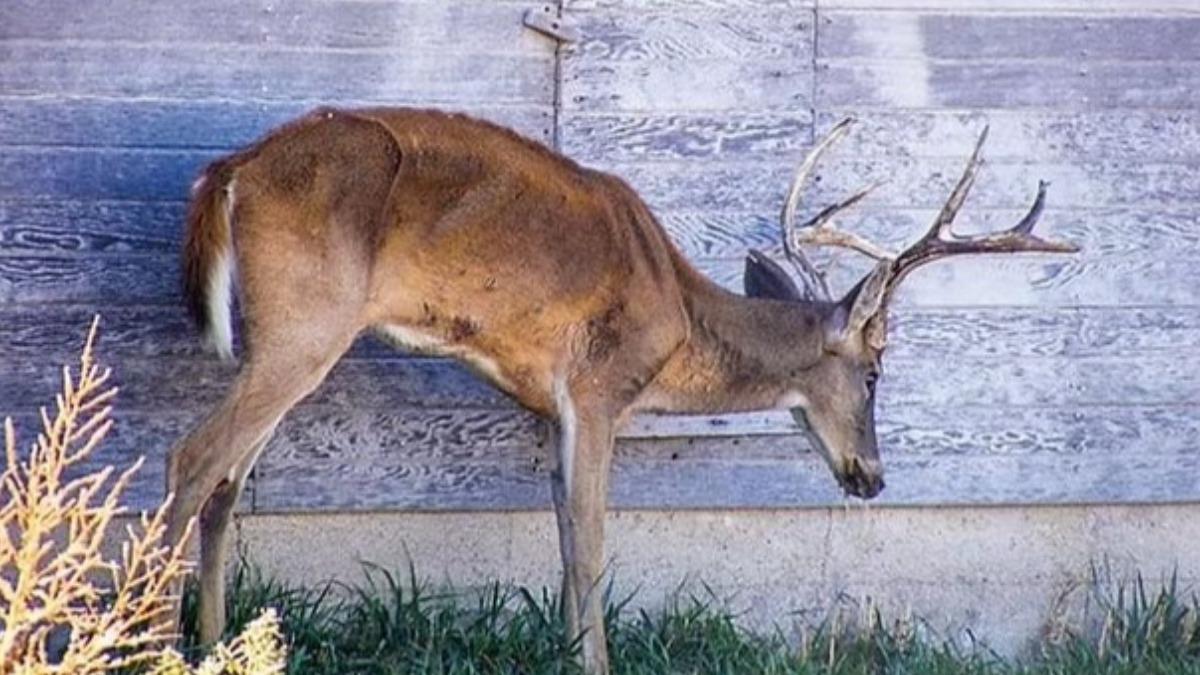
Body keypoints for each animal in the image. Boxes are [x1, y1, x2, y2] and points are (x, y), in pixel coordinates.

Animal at [163, 107, 1076, 673]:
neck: (677, 319)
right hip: (308, 319)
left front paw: (568, 651)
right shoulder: (600, 387)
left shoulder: (550, 408)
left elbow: (567, 540)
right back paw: (152, 636)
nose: (873, 477)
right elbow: (595, 544)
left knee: (226, 481)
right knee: (192, 456)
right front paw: (594, 661)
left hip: (286, 333)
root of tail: (229, 171)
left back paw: (216, 642)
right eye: (877, 372)